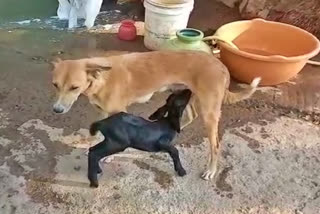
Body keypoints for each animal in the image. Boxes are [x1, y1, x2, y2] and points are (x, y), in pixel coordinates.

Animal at [50, 51, 260, 180]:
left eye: (74, 87)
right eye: (55, 85)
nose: (57, 110)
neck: (101, 78)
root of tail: (221, 65)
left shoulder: (118, 112)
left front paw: (109, 156)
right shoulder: (102, 111)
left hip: (209, 112)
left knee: (215, 145)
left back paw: (210, 171)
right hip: (185, 95)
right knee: (188, 117)